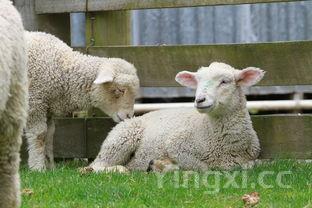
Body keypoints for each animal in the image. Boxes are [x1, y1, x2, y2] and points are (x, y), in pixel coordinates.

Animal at [25, 30, 140, 171]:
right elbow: (39, 135)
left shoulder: (48, 108)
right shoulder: (35, 102)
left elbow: (50, 135)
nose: (129, 116)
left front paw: (50, 167)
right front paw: (38, 167)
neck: (62, 68)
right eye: (120, 90)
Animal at [87, 61, 264, 172]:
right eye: (197, 83)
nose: (199, 100)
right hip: (120, 139)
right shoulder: (176, 144)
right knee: (95, 166)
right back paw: (119, 170)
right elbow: (204, 168)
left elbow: (253, 164)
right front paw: (165, 167)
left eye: (224, 81)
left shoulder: (248, 158)